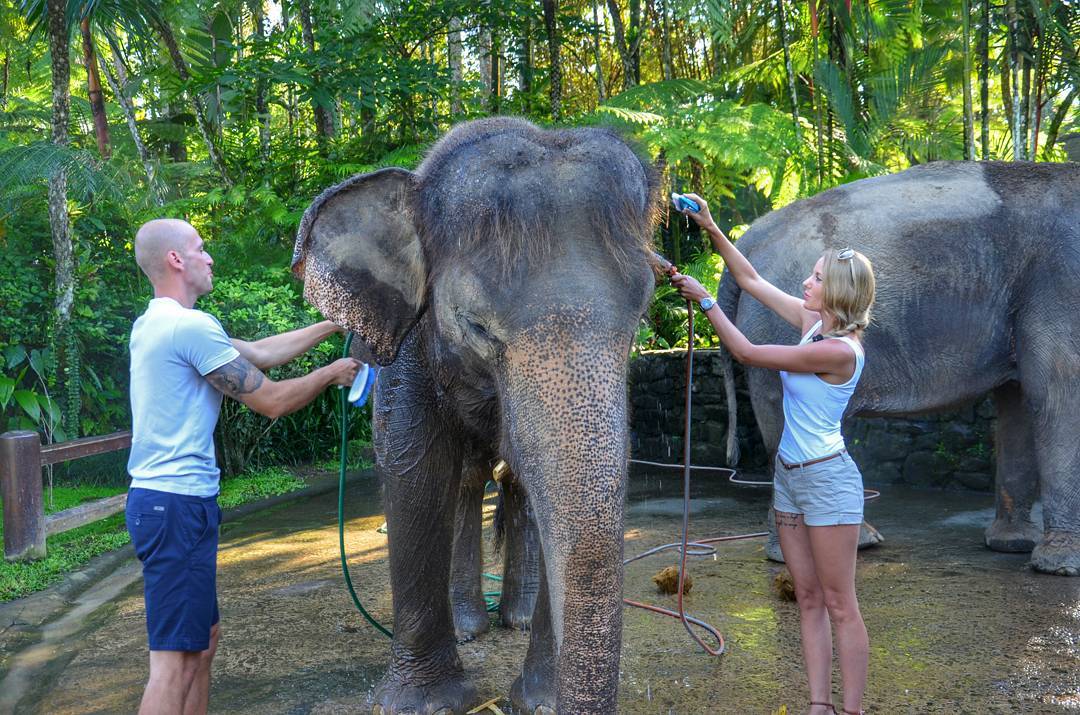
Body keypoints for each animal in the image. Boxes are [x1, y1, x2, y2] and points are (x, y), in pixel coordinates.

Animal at [292, 117, 660, 713]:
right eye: (476, 326)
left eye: (641, 317)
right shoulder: (409, 349)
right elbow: (414, 473)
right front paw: (426, 703)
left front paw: (537, 703)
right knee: (464, 482)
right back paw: (470, 626)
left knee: (512, 486)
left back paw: (513, 617)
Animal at [714, 160, 1080, 576]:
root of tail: (749, 239)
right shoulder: (1061, 280)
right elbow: (1058, 391)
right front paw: (1062, 566)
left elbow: (1019, 400)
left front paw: (1015, 545)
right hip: (777, 331)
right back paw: (831, 548)